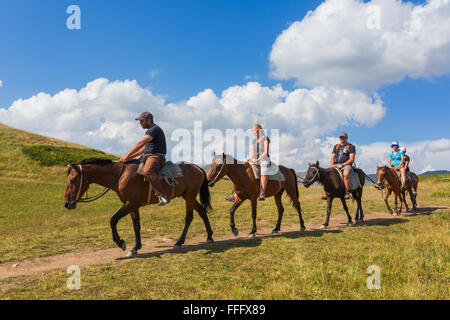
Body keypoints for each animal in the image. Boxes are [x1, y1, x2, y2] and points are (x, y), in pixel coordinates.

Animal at [62, 158, 214, 258]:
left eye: (72, 180)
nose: (66, 204)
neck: (120, 176)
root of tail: (197, 167)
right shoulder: (133, 206)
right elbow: (136, 225)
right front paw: (135, 248)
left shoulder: (130, 203)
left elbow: (113, 220)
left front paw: (121, 243)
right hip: (187, 196)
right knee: (202, 211)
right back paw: (209, 237)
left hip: (190, 196)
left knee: (189, 217)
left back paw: (179, 242)